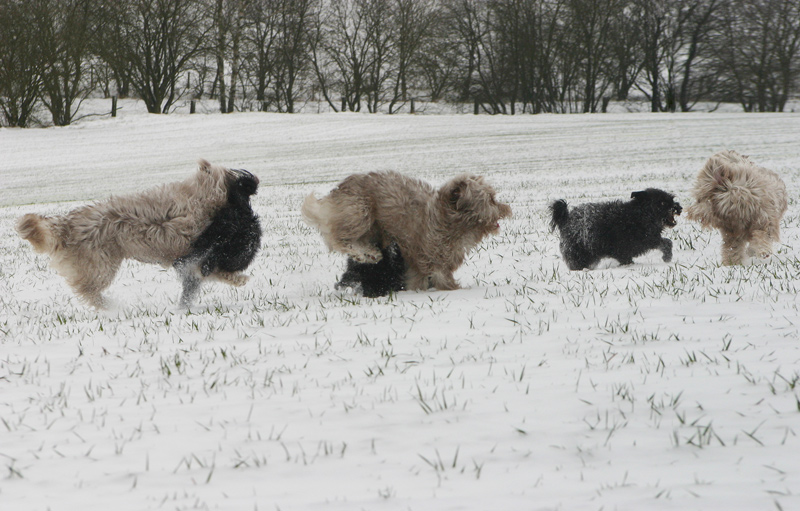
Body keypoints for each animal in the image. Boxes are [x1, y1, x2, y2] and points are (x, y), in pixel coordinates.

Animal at [16, 159, 247, 308]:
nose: (244, 176)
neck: (197, 196)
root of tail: (66, 224)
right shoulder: (190, 249)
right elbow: (211, 269)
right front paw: (237, 279)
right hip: (100, 264)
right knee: (85, 288)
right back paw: (107, 305)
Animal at [300, 172, 512, 292]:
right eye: (491, 199)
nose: (506, 208)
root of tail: (340, 189)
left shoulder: (418, 263)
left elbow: (418, 279)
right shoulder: (431, 259)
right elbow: (441, 277)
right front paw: (453, 290)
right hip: (359, 212)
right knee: (339, 238)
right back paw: (366, 254)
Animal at [552, 189, 680, 272]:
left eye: (671, 199)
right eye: (662, 202)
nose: (677, 208)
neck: (640, 215)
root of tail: (565, 219)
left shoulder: (649, 240)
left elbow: (666, 242)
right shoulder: (642, 241)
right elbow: (666, 243)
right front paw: (667, 257)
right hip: (578, 253)